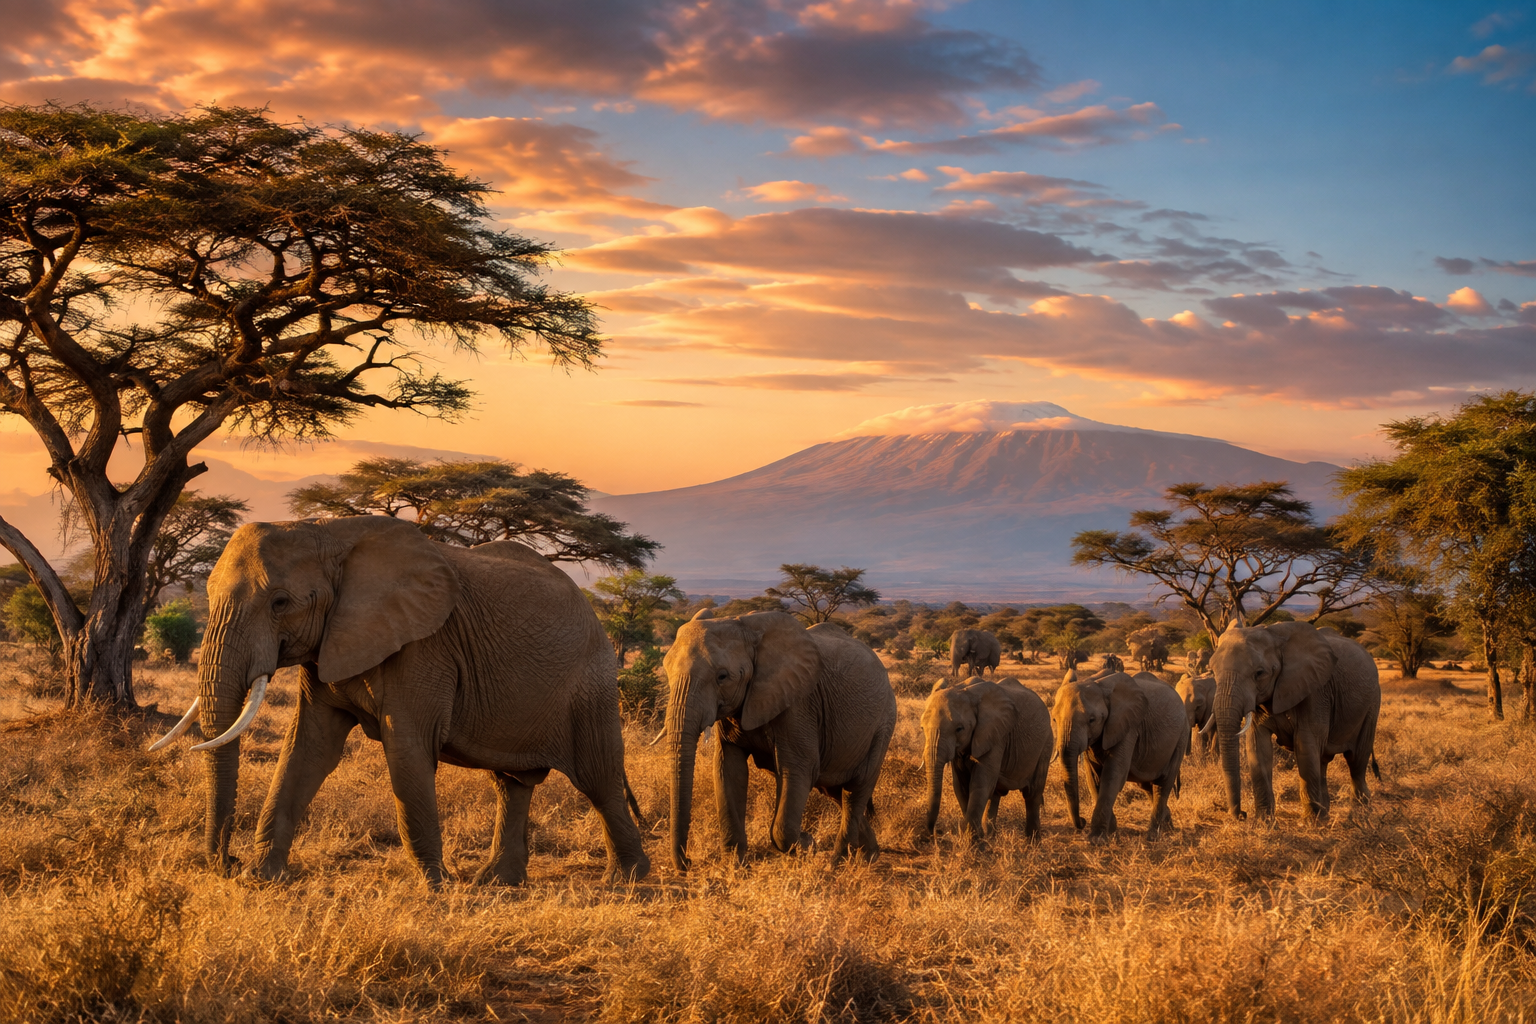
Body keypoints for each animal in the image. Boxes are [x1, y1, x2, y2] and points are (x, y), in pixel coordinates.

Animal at [149, 516, 649, 887]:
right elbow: (308, 750)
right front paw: (263, 878)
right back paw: (496, 882)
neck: (330, 534)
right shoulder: (330, 643)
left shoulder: (423, 649)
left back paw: (626, 881)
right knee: (511, 782)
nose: (225, 864)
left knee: (598, 777)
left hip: (590, 683)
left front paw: (435, 887)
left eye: (280, 603)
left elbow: (407, 750)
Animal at [663, 610, 896, 870]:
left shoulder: (800, 705)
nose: (688, 862)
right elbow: (729, 769)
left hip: (883, 724)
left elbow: (796, 769)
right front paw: (735, 866)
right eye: (666, 671)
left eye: (722, 677)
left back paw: (837, 863)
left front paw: (808, 843)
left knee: (856, 789)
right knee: (835, 791)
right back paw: (869, 856)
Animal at [922, 677, 1052, 843]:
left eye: (959, 729)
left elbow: (980, 782)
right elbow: (961, 786)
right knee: (994, 794)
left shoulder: (995, 736)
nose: (935, 833)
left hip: (1046, 744)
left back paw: (1032, 843)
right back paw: (990, 838)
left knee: (1032, 794)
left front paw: (971, 840)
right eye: (922, 728)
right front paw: (974, 838)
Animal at [1052, 671, 1188, 840]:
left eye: (1092, 720)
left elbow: (1113, 774)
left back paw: (1153, 836)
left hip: (1181, 737)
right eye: (1054, 719)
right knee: (1147, 785)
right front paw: (1111, 830)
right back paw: (1168, 828)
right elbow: (1093, 777)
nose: (1082, 821)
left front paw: (1097, 839)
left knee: (1163, 783)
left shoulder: (1127, 726)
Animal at [1211, 619, 1380, 823]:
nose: (1241, 815)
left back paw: (1359, 813)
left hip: (1372, 703)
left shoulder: (1316, 691)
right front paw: (1264, 821)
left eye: (1259, 673)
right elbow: (1258, 747)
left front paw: (1310, 823)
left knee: (1356, 760)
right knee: (1323, 760)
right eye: (1213, 671)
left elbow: (1305, 744)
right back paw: (1326, 814)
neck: (1274, 635)